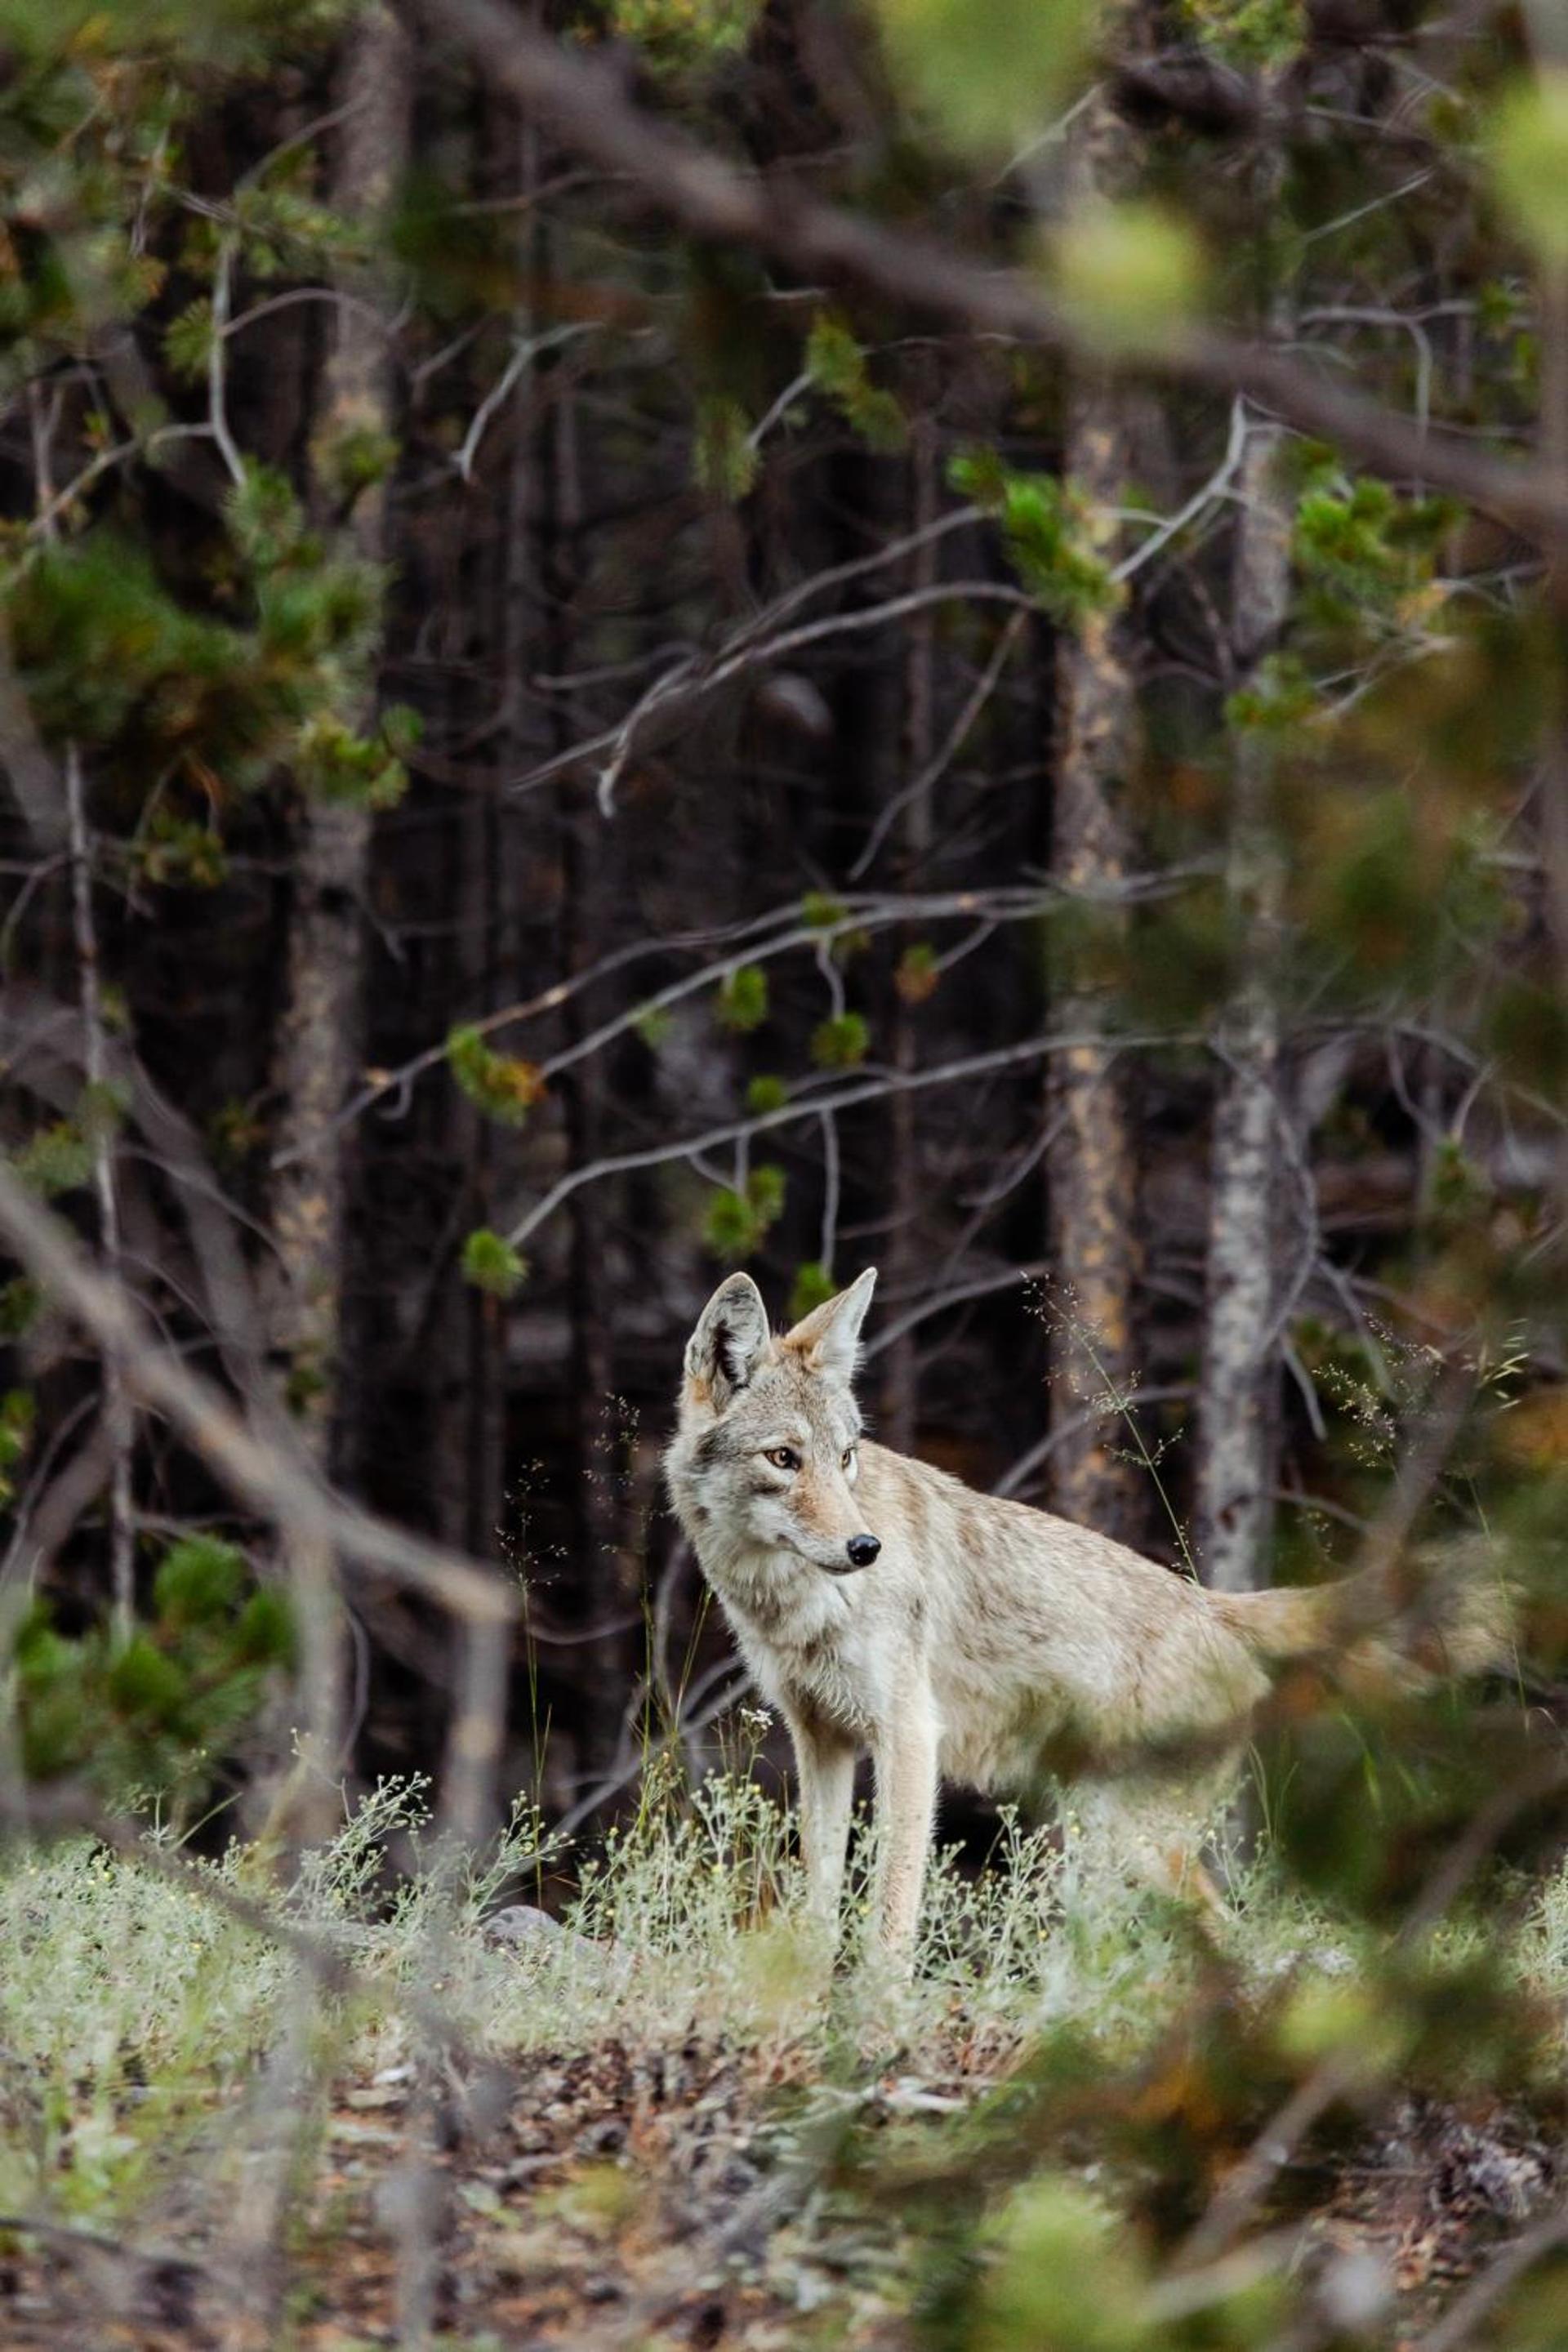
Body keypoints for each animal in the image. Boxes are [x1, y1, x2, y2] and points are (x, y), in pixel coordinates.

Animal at [665, 1265, 1504, 1962]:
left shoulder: (909, 1740)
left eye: (845, 1458)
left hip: (1132, 1846)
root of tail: (1215, 1607)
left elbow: (891, 1919)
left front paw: (876, 2022)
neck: (791, 1605)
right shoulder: (824, 1743)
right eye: (785, 1459)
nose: (865, 1547)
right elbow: (818, 1910)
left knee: (1233, 1938)